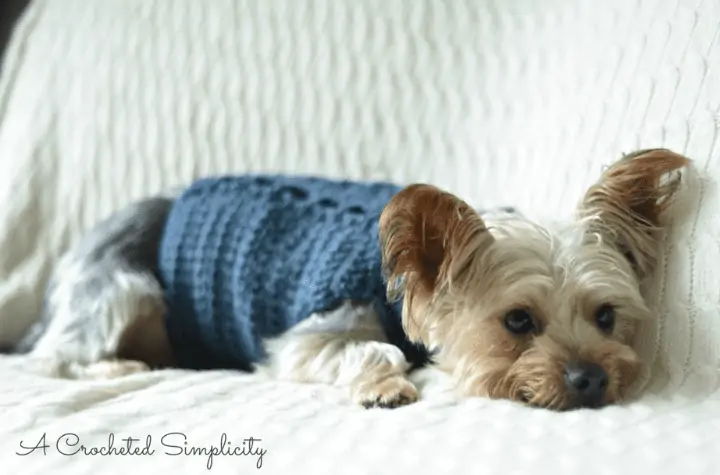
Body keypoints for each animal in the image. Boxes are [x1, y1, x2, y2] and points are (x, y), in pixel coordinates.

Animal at [7, 150, 692, 412]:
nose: (591, 379)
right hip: (122, 285)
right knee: (52, 355)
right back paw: (116, 364)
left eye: (606, 316)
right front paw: (385, 385)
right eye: (517, 321)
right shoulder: (309, 331)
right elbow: (374, 346)